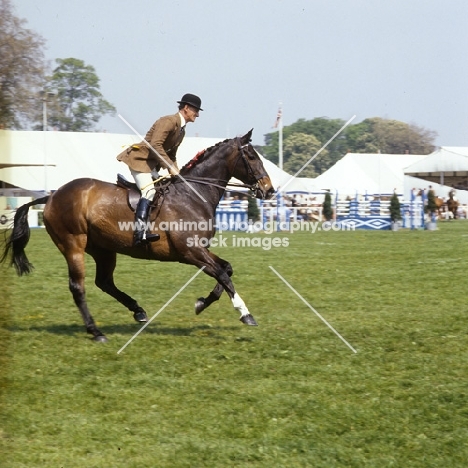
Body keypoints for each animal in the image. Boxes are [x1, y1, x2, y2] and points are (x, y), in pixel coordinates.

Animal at [0, 130, 274, 342]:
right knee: (78, 287)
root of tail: (52, 196)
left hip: (103, 249)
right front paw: (245, 314)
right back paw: (96, 332)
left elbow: (226, 269)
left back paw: (138, 311)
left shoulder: (200, 250)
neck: (193, 194)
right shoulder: (191, 252)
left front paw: (201, 303)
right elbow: (223, 275)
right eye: (251, 156)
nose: (269, 190)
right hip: (73, 244)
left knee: (104, 282)